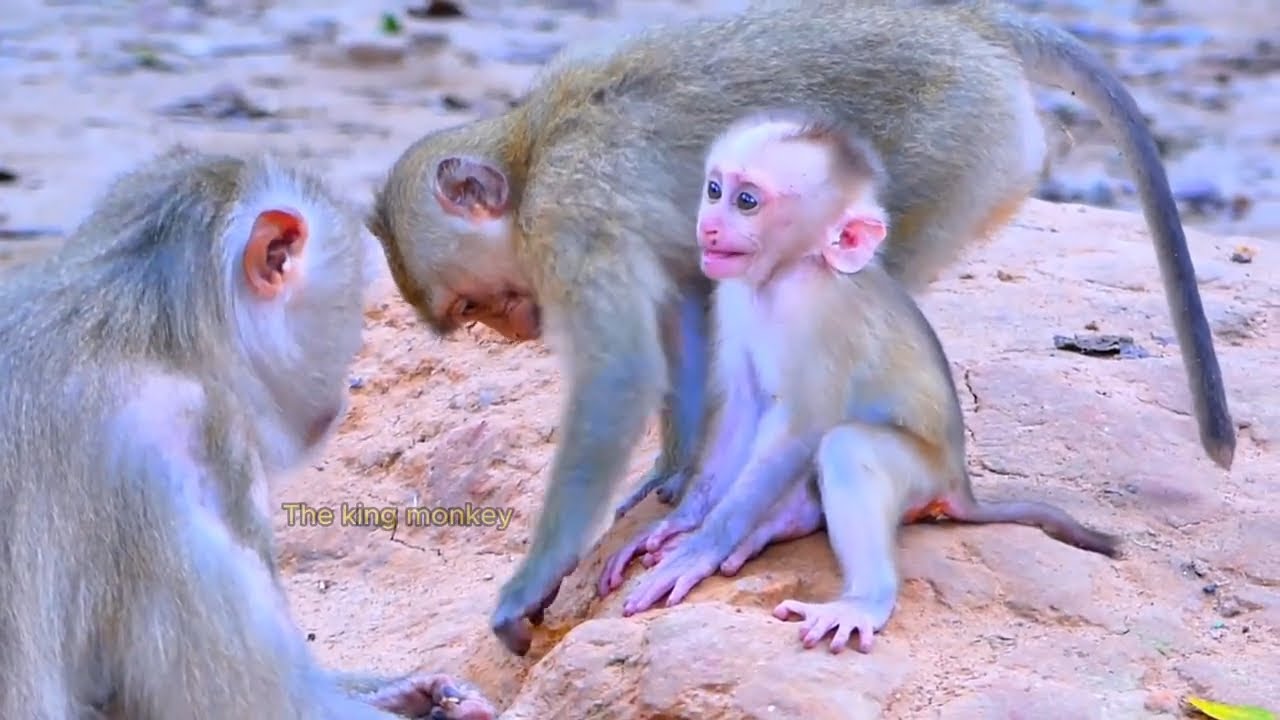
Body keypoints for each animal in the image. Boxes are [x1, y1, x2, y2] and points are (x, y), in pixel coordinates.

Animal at [603, 110, 1121, 650]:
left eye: (746, 202)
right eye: (713, 189)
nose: (709, 226)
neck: (785, 275)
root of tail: (960, 483)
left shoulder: (819, 318)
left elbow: (802, 430)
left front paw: (701, 547)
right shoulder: (732, 295)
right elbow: (741, 408)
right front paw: (679, 521)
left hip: (924, 474)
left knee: (848, 446)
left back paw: (864, 599)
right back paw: (791, 520)